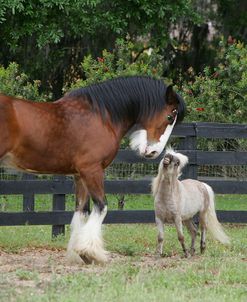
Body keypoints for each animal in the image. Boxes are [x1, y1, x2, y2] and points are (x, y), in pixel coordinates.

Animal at [0, 76, 185, 264]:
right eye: (170, 116)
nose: (153, 152)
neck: (101, 116)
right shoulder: (92, 170)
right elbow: (101, 207)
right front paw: (90, 252)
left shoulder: (79, 175)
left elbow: (81, 211)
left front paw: (78, 252)